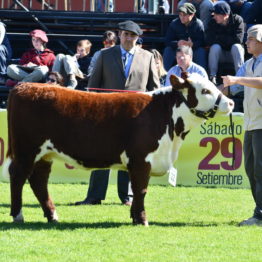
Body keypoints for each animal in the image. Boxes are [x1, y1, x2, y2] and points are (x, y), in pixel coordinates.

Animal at [2, 73, 234, 225]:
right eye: (205, 90)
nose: (231, 103)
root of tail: (26, 86)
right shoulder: (141, 159)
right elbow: (141, 189)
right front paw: (141, 219)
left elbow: (137, 191)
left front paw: (134, 217)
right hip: (26, 150)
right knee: (18, 176)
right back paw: (18, 216)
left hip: (45, 154)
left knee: (39, 181)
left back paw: (52, 216)